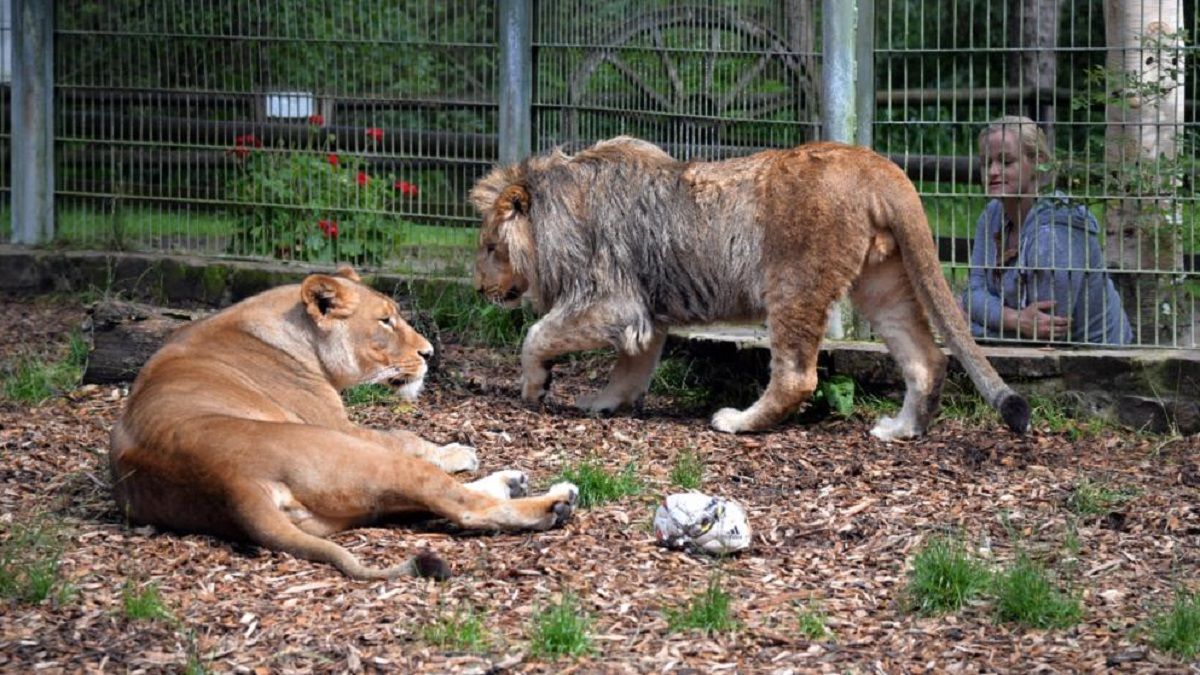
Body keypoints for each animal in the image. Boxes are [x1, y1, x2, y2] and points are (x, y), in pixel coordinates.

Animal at [110, 266, 578, 578]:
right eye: (385, 320)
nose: (429, 353)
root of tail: (229, 484)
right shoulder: (339, 424)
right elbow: (404, 435)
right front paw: (456, 451)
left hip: (343, 506)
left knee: (427, 501)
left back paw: (514, 482)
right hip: (354, 455)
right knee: (460, 505)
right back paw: (553, 503)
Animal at [468, 138, 1032, 441]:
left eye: (492, 247)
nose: (478, 288)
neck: (559, 204)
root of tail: (877, 165)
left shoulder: (611, 300)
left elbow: (537, 335)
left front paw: (535, 385)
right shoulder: (646, 312)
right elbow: (631, 369)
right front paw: (603, 403)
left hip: (793, 283)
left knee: (797, 378)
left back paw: (737, 421)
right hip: (882, 283)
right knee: (926, 359)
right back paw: (901, 429)